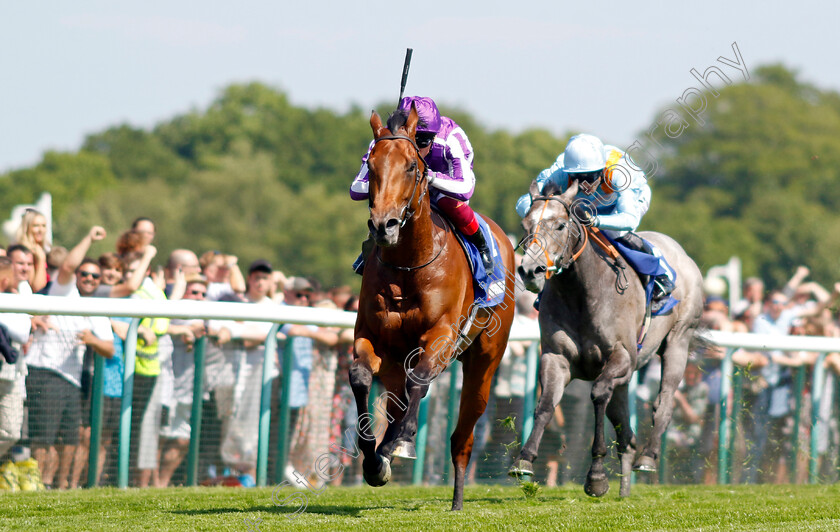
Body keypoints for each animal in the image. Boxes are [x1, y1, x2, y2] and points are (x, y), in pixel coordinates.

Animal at [350, 105, 520, 512]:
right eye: (370, 165)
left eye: (412, 166)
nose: (383, 226)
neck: (409, 266)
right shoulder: (371, 336)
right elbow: (360, 376)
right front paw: (373, 458)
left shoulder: (441, 335)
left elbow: (420, 380)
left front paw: (398, 440)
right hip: (396, 361)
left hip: (485, 361)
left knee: (463, 435)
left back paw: (456, 498)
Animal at [512, 180, 704, 498]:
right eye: (525, 225)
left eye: (561, 225)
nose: (530, 270)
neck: (582, 294)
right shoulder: (556, 357)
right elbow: (546, 404)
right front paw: (524, 460)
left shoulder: (621, 355)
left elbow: (599, 394)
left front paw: (597, 476)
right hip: (627, 379)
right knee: (626, 432)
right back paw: (625, 489)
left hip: (678, 340)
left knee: (663, 404)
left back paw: (648, 458)